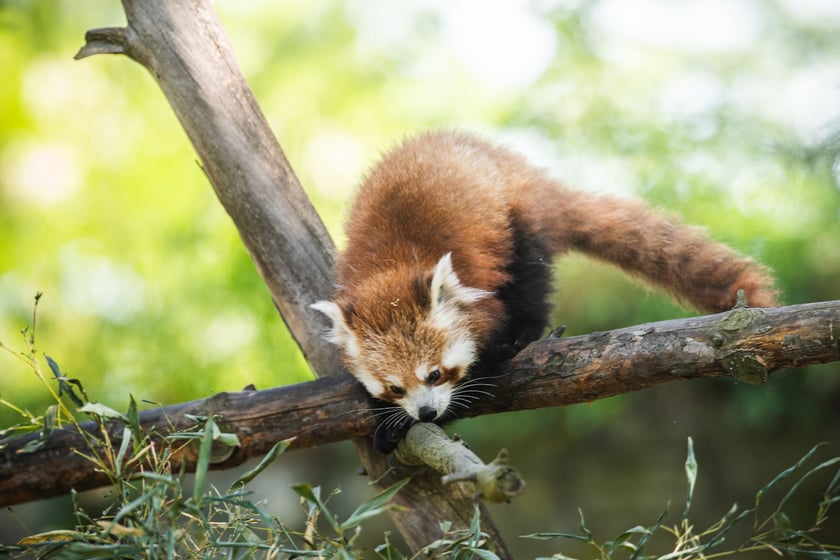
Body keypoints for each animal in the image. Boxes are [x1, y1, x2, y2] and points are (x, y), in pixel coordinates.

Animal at [312, 130, 776, 450]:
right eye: (395, 387)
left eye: (436, 373)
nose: (426, 410)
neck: (393, 265)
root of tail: (520, 168)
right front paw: (386, 418)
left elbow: (479, 374)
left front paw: (433, 415)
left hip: (518, 221)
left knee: (531, 278)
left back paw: (524, 333)